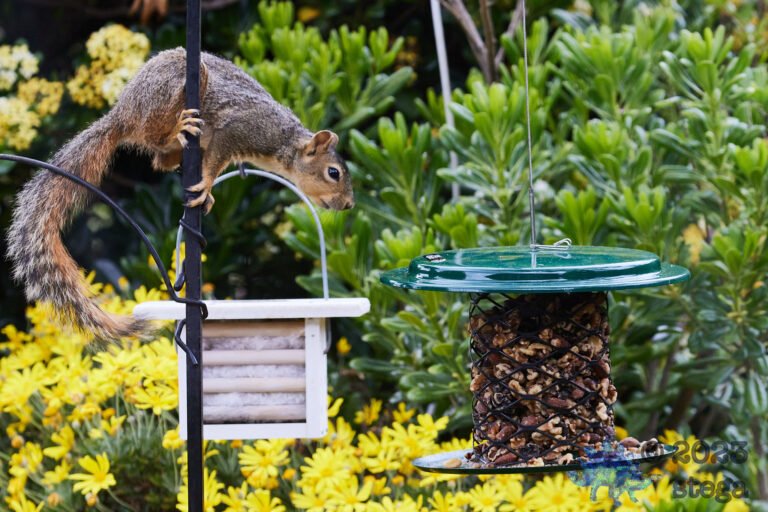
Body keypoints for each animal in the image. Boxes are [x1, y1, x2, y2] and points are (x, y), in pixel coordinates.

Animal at [7, 47, 354, 345]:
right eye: (333, 173)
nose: (349, 204)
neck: (286, 143)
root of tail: (122, 112)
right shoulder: (241, 131)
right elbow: (217, 159)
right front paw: (207, 185)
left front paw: (208, 193)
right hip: (169, 91)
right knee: (152, 135)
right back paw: (177, 128)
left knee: (158, 160)